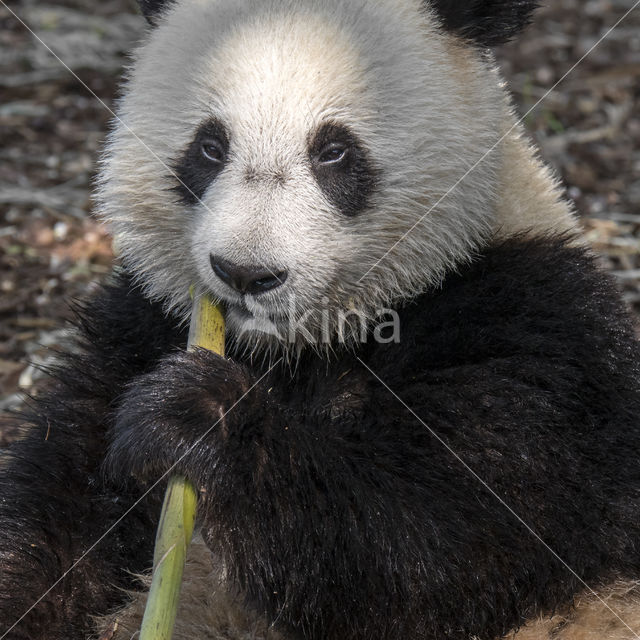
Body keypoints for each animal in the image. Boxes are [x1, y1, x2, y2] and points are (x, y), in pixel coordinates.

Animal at [1, 0, 640, 636]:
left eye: (333, 150)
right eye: (210, 147)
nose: (245, 272)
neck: (296, 349)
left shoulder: (535, 328)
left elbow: (438, 543)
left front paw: (199, 416)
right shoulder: (141, 324)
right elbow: (66, 509)